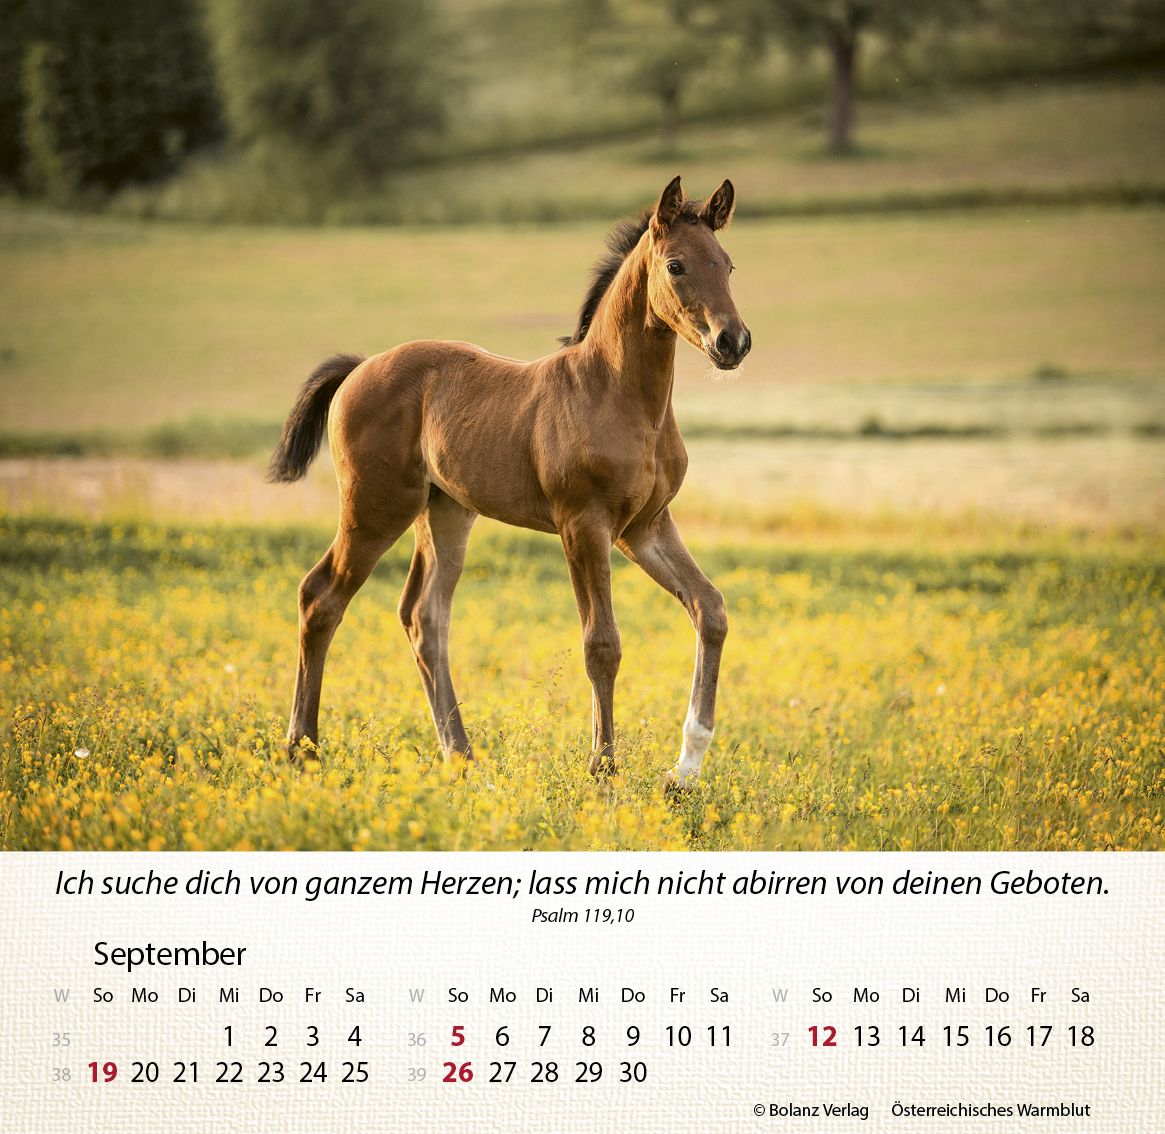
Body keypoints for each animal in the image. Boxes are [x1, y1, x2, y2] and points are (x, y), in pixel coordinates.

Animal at [269, 175, 751, 785]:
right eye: (676, 266)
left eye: (728, 265)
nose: (733, 342)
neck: (618, 394)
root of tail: (358, 367)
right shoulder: (584, 524)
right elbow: (602, 643)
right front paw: (602, 769)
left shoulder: (644, 527)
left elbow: (710, 610)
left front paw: (685, 770)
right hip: (375, 508)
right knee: (321, 597)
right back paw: (303, 750)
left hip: (445, 511)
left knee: (425, 618)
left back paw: (460, 755)